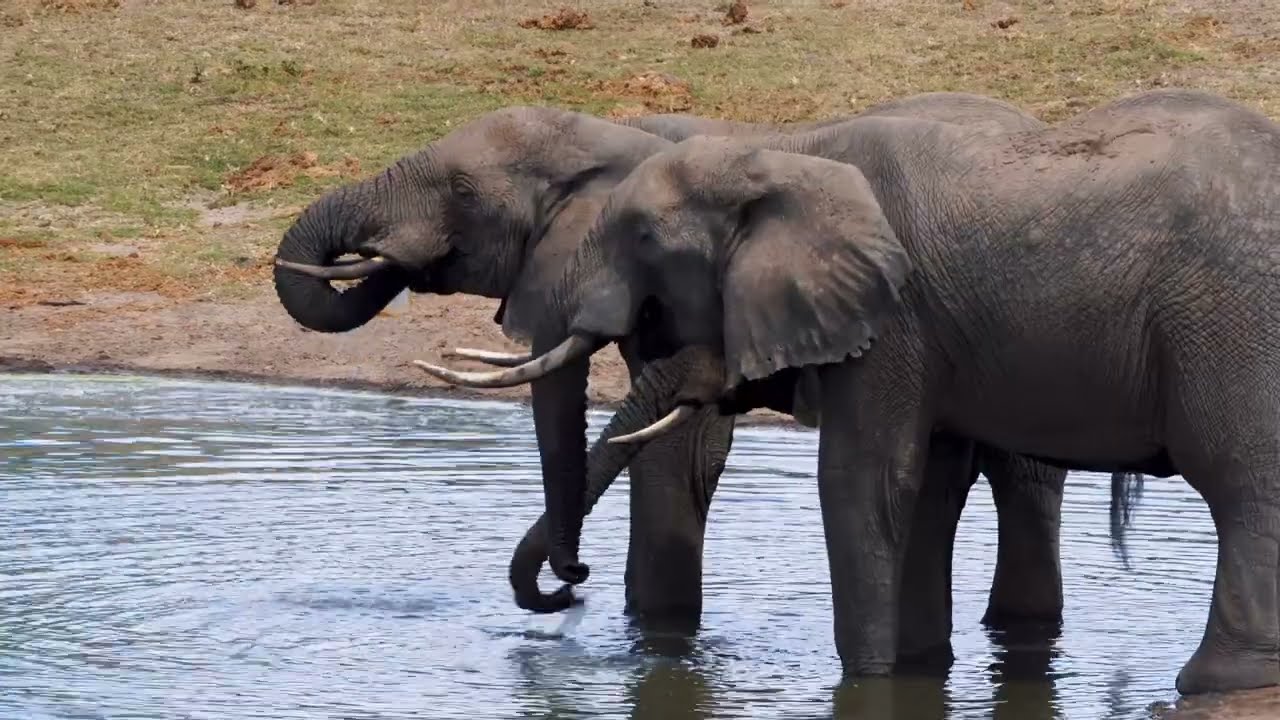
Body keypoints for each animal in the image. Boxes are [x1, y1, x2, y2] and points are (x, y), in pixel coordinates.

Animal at [413, 88, 1280, 695]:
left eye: (645, 241)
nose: (571, 587)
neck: (784, 153)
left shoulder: (895, 316)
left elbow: (863, 481)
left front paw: (867, 680)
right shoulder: (930, 332)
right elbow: (925, 488)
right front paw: (921, 668)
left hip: (1233, 321)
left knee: (1242, 482)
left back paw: (1217, 682)